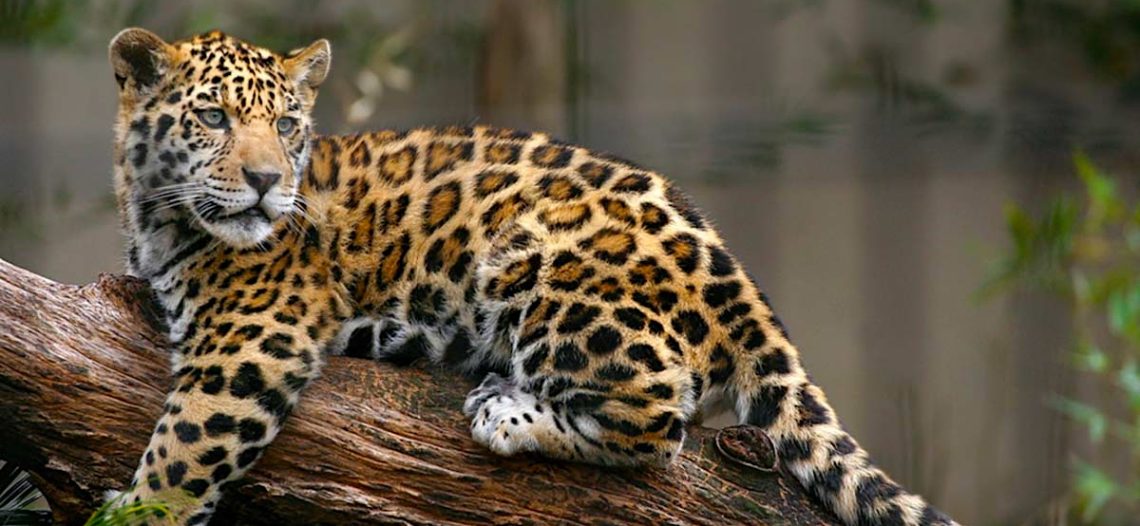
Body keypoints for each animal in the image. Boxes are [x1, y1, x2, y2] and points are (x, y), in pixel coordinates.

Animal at [103, 27, 957, 525]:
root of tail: (737, 275)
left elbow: (185, 447)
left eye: (285, 125)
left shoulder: (254, 337)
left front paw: (135, 510)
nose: (266, 183)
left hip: (542, 258)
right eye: (213, 117)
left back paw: (507, 411)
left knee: (660, 422)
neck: (156, 214)